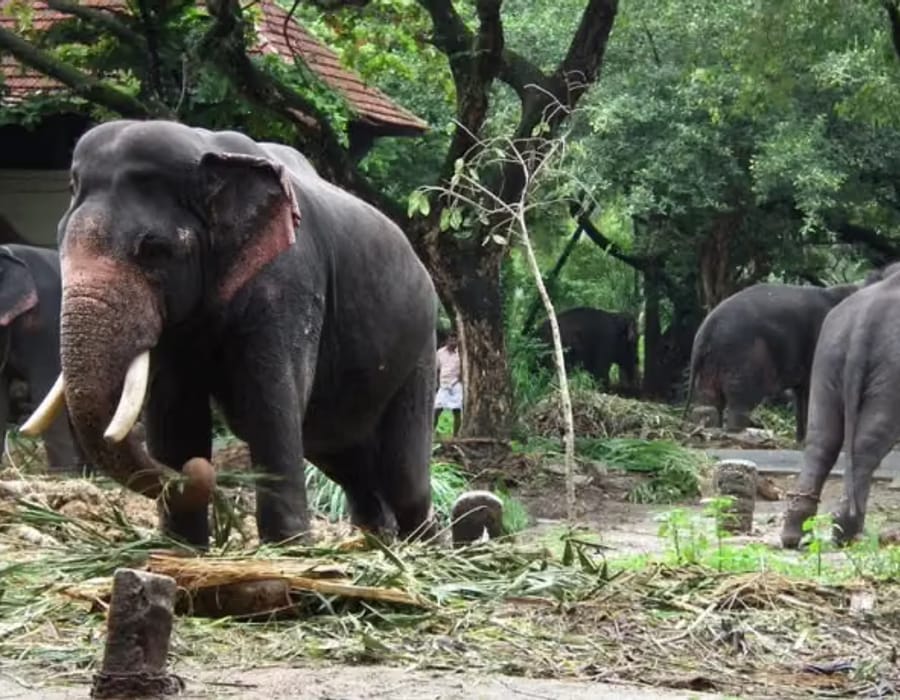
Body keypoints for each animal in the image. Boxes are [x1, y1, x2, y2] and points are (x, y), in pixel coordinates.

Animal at [22, 120, 438, 549]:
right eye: (60, 240)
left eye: (154, 250)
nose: (198, 470)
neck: (208, 152)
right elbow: (175, 409)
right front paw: (183, 548)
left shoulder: (287, 281)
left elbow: (270, 399)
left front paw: (288, 548)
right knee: (347, 460)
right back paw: (378, 543)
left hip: (421, 350)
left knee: (404, 477)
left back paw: (422, 547)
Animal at [683, 282, 861, 442]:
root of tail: (705, 330)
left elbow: (803, 393)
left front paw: (801, 442)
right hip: (742, 359)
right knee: (739, 402)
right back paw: (739, 436)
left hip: (712, 363)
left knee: (710, 402)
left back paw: (711, 433)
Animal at [781, 266, 900, 548]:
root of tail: (864, 322)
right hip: (891, 369)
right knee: (868, 443)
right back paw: (847, 532)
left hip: (828, 354)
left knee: (822, 438)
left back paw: (794, 535)